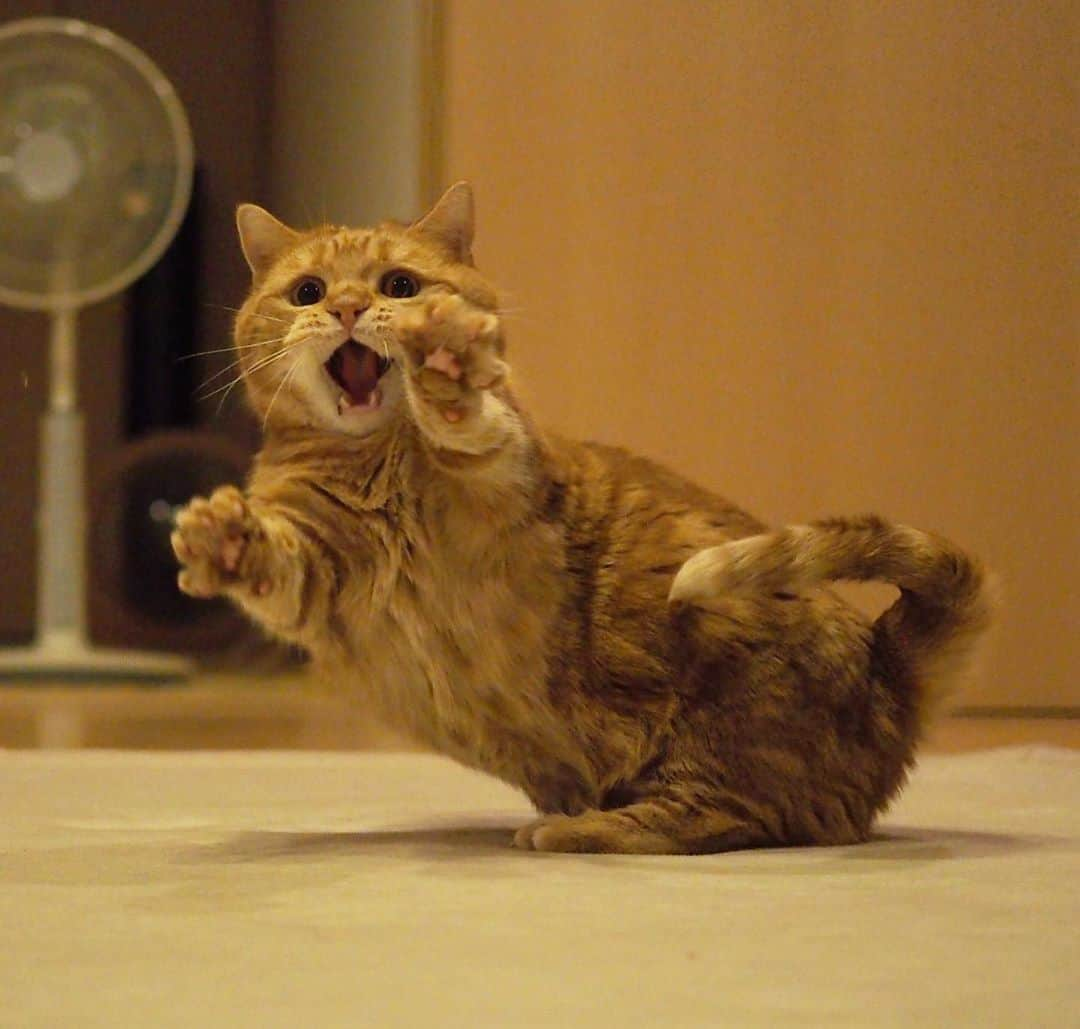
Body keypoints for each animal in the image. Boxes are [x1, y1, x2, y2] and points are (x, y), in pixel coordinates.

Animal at [170, 182, 993, 850]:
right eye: (307, 291)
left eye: (398, 284)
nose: (344, 308)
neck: (379, 467)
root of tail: (890, 670)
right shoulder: (316, 568)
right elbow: (271, 559)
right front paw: (222, 538)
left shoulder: (508, 481)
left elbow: (475, 426)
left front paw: (446, 371)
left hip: (721, 707)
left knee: (719, 818)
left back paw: (574, 827)